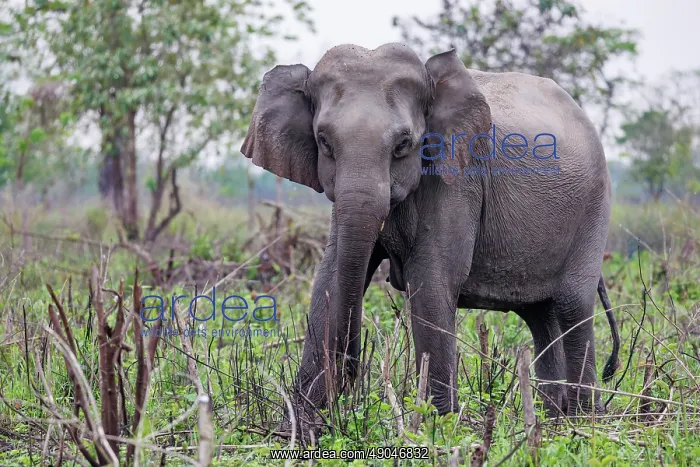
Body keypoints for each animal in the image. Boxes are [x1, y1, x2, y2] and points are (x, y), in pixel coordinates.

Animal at [241, 43, 621, 425]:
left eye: (403, 144)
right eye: (324, 142)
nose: (350, 373)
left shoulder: (459, 178)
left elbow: (432, 279)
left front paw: (439, 426)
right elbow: (328, 278)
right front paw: (303, 422)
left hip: (594, 207)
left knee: (572, 304)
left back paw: (585, 421)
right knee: (541, 315)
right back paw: (552, 420)